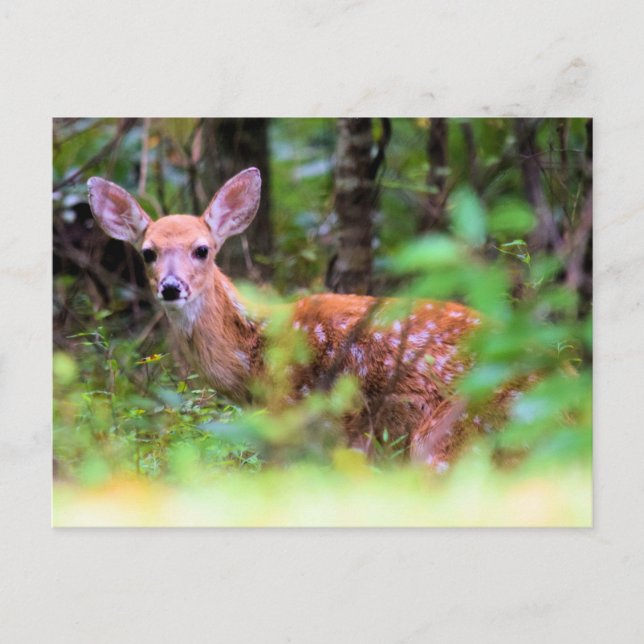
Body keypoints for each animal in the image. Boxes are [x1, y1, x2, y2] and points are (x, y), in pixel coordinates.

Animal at [88, 167, 513, 469]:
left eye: (202, 249)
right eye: (148, 252)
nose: (172, 287)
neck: (254, 355)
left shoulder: (313, 421)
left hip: (446, 436)